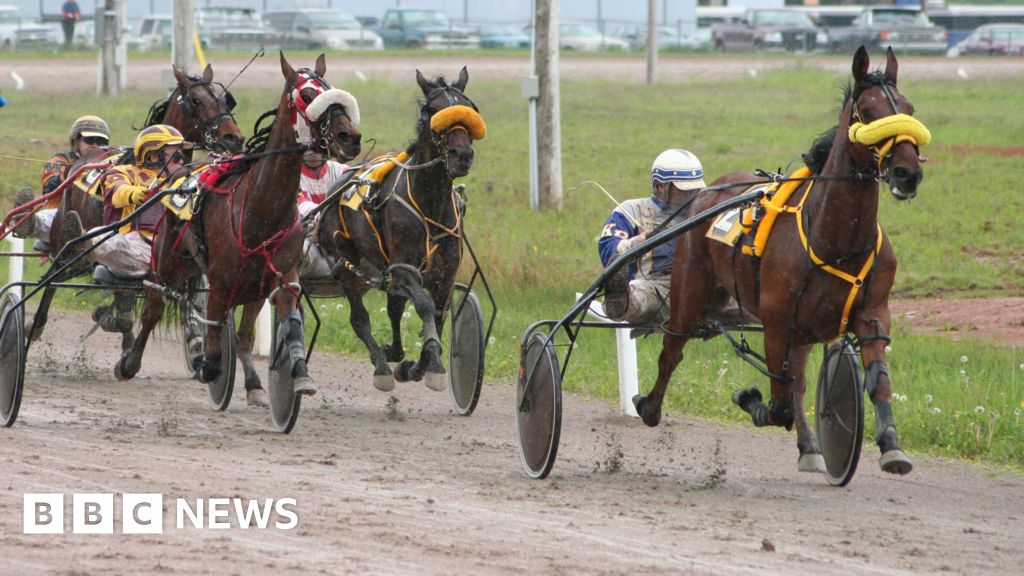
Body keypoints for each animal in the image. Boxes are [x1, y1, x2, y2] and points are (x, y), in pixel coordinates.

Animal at [114, 52, 362, 403]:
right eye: (307, 95)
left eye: (331, 89)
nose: (349, 137)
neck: (261, 210)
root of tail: (181, 173)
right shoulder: (220, 280)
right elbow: (215, 331)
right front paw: (209, 366)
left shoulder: (280, 276)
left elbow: (276, 327)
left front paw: (292, 376)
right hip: (168, 262)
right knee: (154, 307)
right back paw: (130, 362)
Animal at [317, 66, 481, 389]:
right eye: (433, 110)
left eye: (468, 108)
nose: (462, 155)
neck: (429, 203)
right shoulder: (405, 268)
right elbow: (425, 306)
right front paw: (432, 366)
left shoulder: (444, 273)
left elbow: (438, 315)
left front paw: (419, 365)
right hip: (347, 264)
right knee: (359, 319)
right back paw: (381, 366)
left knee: (393, 307)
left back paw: (393, 354)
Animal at [634, 47, 925, 473]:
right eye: (869, 111)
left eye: (908, 108)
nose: (907, 172)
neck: (834, 237)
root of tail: (707, 193)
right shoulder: (776, 320)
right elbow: (778, 402)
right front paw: (749, 399)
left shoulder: (872, 313)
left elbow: (875, 382)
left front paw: (891, 445)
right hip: (690, 290)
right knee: (672, 350)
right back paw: (648, 406)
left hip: (802, 328)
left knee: (797, 383)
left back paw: (810, 447)